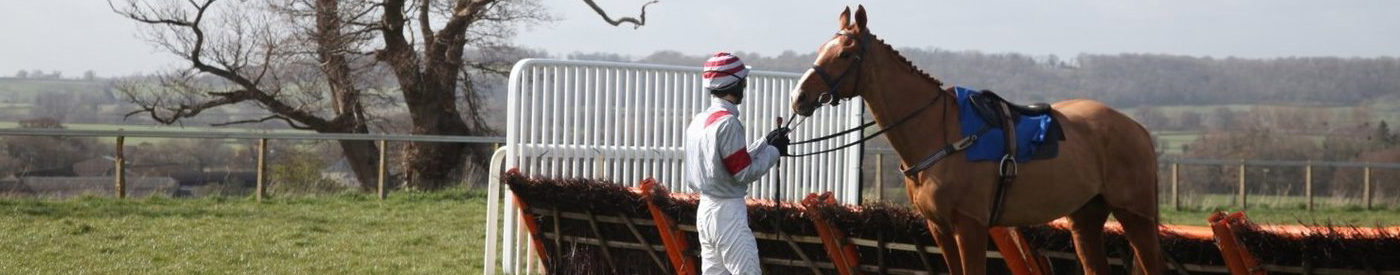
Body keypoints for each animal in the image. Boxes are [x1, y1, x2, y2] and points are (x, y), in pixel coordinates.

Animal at [789, 5, 1170, 273]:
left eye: (844, 53)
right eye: (822, 47)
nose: (799, 97)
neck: (940, 132)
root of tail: (1136, 128)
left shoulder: (969, 226)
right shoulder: (940, 228)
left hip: (1135, 214)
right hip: (1086, 218)